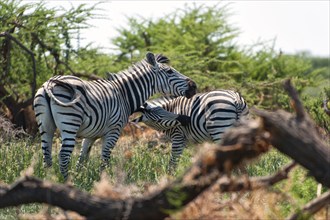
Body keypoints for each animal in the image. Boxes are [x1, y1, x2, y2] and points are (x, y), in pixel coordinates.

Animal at [33, 52, 196, 180]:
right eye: (169, 72)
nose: (194, 86)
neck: (124, 95)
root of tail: (49, 83)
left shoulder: (91, 135)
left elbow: (82, 158)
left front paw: (80, 179)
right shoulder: (114, 131)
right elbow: (104, 159)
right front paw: (101, 181)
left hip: (45, 125)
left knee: (46, 155)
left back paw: (50, 181)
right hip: (70, 123)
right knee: (63, 156)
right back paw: (67, 182)